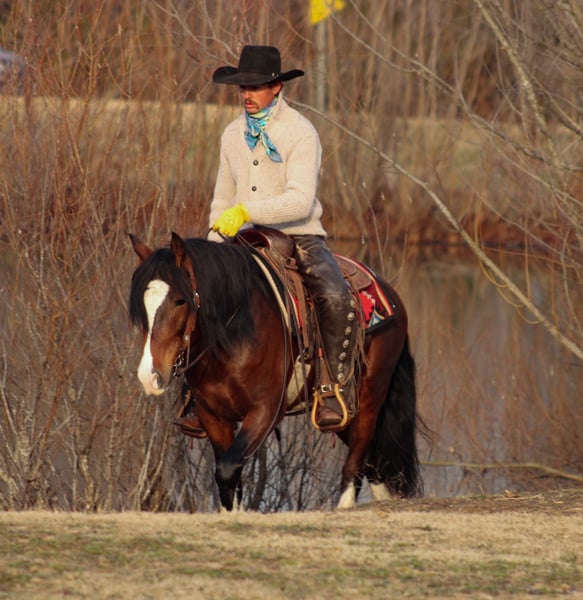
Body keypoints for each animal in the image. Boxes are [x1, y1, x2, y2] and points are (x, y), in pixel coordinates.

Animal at [128, 229, 423, 511]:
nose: (149, 376)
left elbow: (227, 469)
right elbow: (228, 481)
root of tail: (389, 295)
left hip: (369, 397)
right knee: (373, 461)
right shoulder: (213, 416)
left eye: (180, 300)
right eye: (142, 302)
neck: (234, 334)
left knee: (357, 460)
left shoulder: (265, 411)